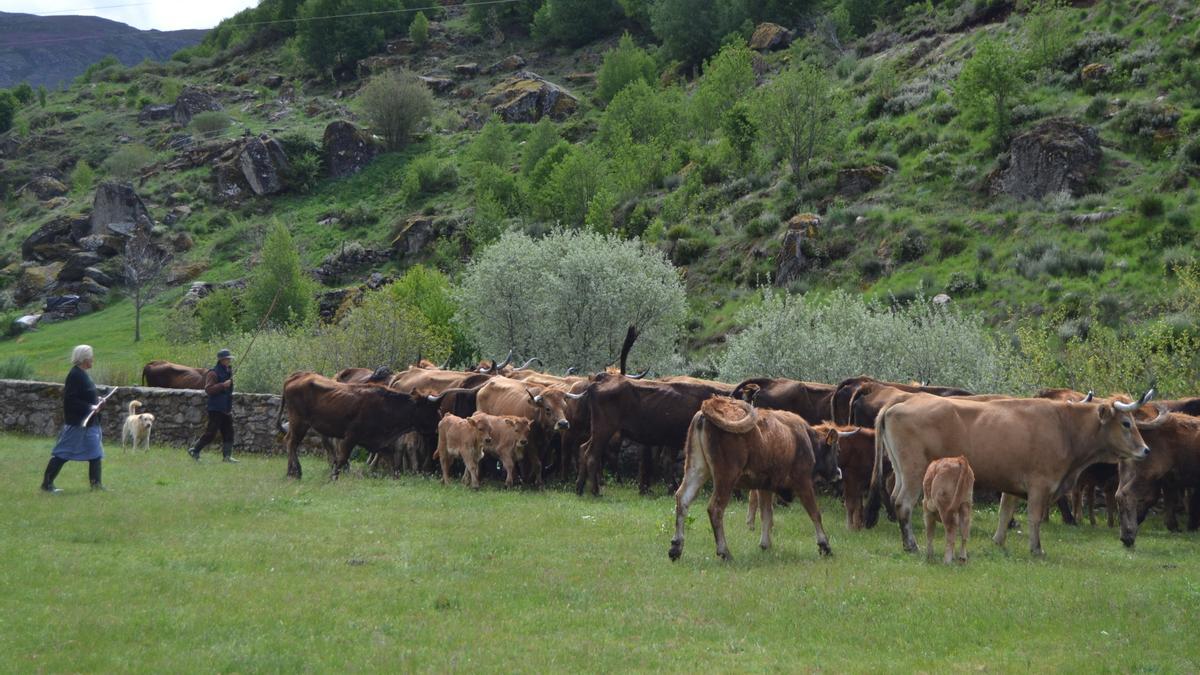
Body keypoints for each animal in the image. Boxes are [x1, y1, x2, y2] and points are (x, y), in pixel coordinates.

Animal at [278, 372, 444, 478]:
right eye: (432, 408)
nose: (440, 422)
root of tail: (296, 376)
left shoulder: (381, 442)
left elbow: (392, 461)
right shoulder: (350, 437)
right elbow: (342, 458)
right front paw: (333, 477)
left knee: (289, 441)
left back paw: (290, 471)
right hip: (299, 422)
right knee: (292, 442)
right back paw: (296, 471)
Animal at [873, 391, 1161, 554]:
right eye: (1126, 423)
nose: (1146, 450)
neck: (1064, 427)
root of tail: (903, 400)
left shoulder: (1010, 484)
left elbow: (1004, 512)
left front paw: (999, 542)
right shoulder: (1039, 485)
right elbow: (1034, 518)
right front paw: (1036, 549)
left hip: (902, 471)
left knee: (896, 498)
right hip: (914, 470)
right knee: (904, 504)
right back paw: (911, 544)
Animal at [1113, 410, 1200, 547]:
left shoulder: (1170, 482)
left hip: (1127, 472)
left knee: (1119, 495)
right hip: (1147, 475)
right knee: (1127, 494)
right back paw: (1129, 536)